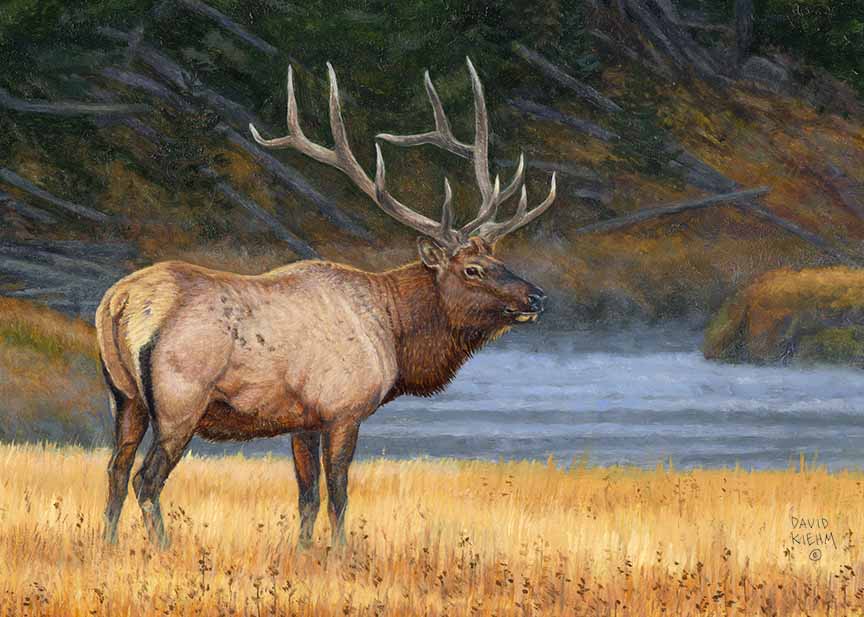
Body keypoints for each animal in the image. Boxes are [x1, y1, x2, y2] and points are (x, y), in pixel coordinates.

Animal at [96, 58, 557, 549]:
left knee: (115, 470)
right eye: (472, 270)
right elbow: (338, 494)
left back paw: (107, 544)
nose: (536, 296)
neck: (392, 330)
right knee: (146, 479)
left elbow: (307, 496)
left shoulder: (304, 421)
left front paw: (304, 550)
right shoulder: (344, 410)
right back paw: (162, 547)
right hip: (180, 400)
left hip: (125, 397)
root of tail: (118, 303)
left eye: (499, 259)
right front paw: (340, 552)